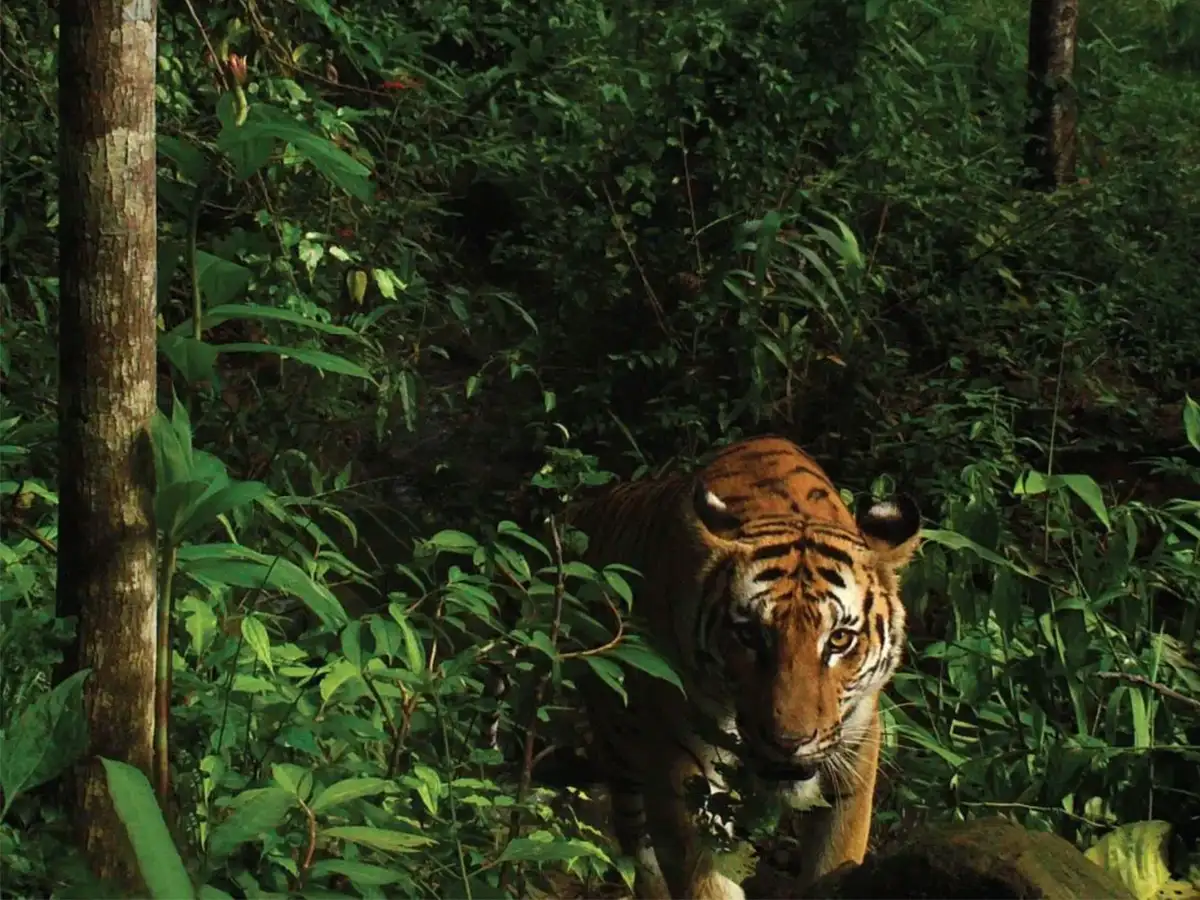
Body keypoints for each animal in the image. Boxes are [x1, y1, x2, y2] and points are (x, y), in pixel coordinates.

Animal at [565, 436, 921, 900]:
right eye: (750, 635)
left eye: (839, 639)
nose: (789, 742)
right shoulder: (683, 773)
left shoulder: (855, 753)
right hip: (618, 738)